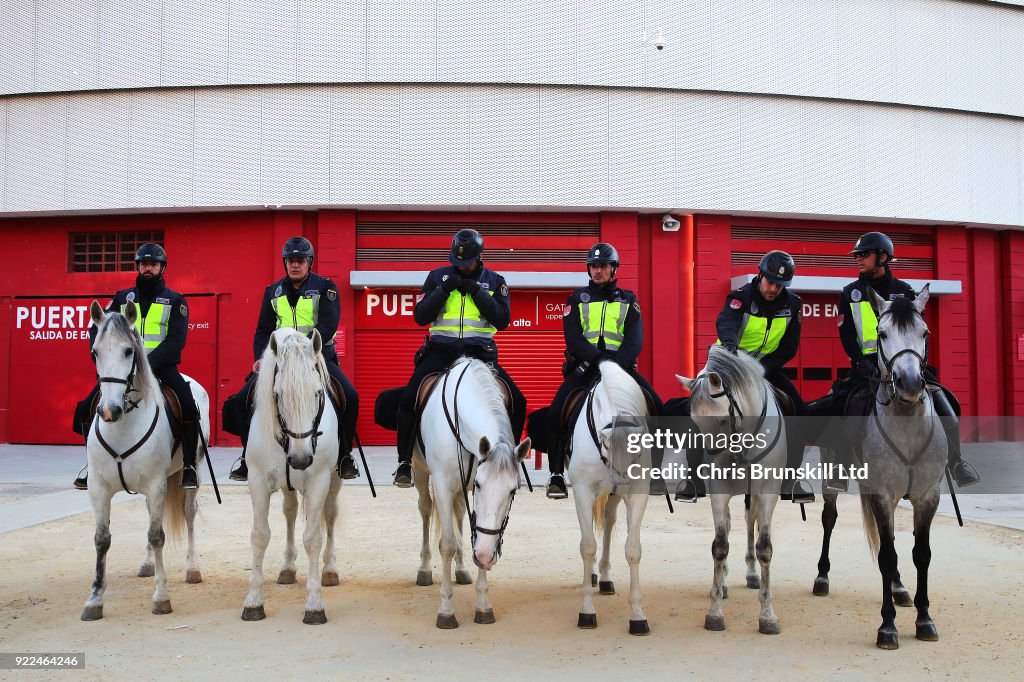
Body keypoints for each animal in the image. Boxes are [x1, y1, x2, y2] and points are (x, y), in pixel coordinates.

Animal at [80, 301, 209, 618]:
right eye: (95, 352)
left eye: (129, 351)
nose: (110, 410)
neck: (123, 426)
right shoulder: (99, 489)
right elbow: (102, 539)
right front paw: (94, 599)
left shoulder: (156, 485)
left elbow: (157, 535)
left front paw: (161, 597)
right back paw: (148, 564)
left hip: (194, 474)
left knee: (188, 514)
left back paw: (192, 568)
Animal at [238, 327, 339, 622]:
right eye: (278, 395)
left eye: (317, 393)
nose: (301, 459)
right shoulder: (257, 481)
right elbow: (260, 535)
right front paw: (253, 601)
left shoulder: (319, 481)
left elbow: (313, 538)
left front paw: (314, 604)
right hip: (287, 485)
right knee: (290, 512)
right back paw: (287, 567)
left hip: (334, 480)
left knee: (330, 515)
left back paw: (330, 569)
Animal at [413, 356, 532, 626]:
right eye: (479, 484)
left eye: (513, 491)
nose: (486, 556)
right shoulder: (443, 484)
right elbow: (446, 543)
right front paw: (446, 610)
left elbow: (477, 534)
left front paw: (483, 606)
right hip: (420, 472)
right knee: (425, 511)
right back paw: (424, 569)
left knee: (458, 518)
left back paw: (461, 569)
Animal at [565, 360, 651, 630]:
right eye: (604, 445)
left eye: (637, 451)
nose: (620, 483)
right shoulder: (582, 490)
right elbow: (587, 546)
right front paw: (586, 611)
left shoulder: (638, 494)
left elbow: (633, 549)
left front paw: (637, 614)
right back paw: (593, 575)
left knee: (609, 521)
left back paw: (603, 577)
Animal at [675, 346, 786, 630]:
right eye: (695, 421)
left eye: (724, 419)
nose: (711, 457)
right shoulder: (719, 491)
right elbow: (720, 545)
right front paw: (714, 611)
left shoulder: (767, 491)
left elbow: (764, 547)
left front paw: (767, 614)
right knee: (729, 523)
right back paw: (724, 580)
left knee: (750, 522)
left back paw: (752, 573)